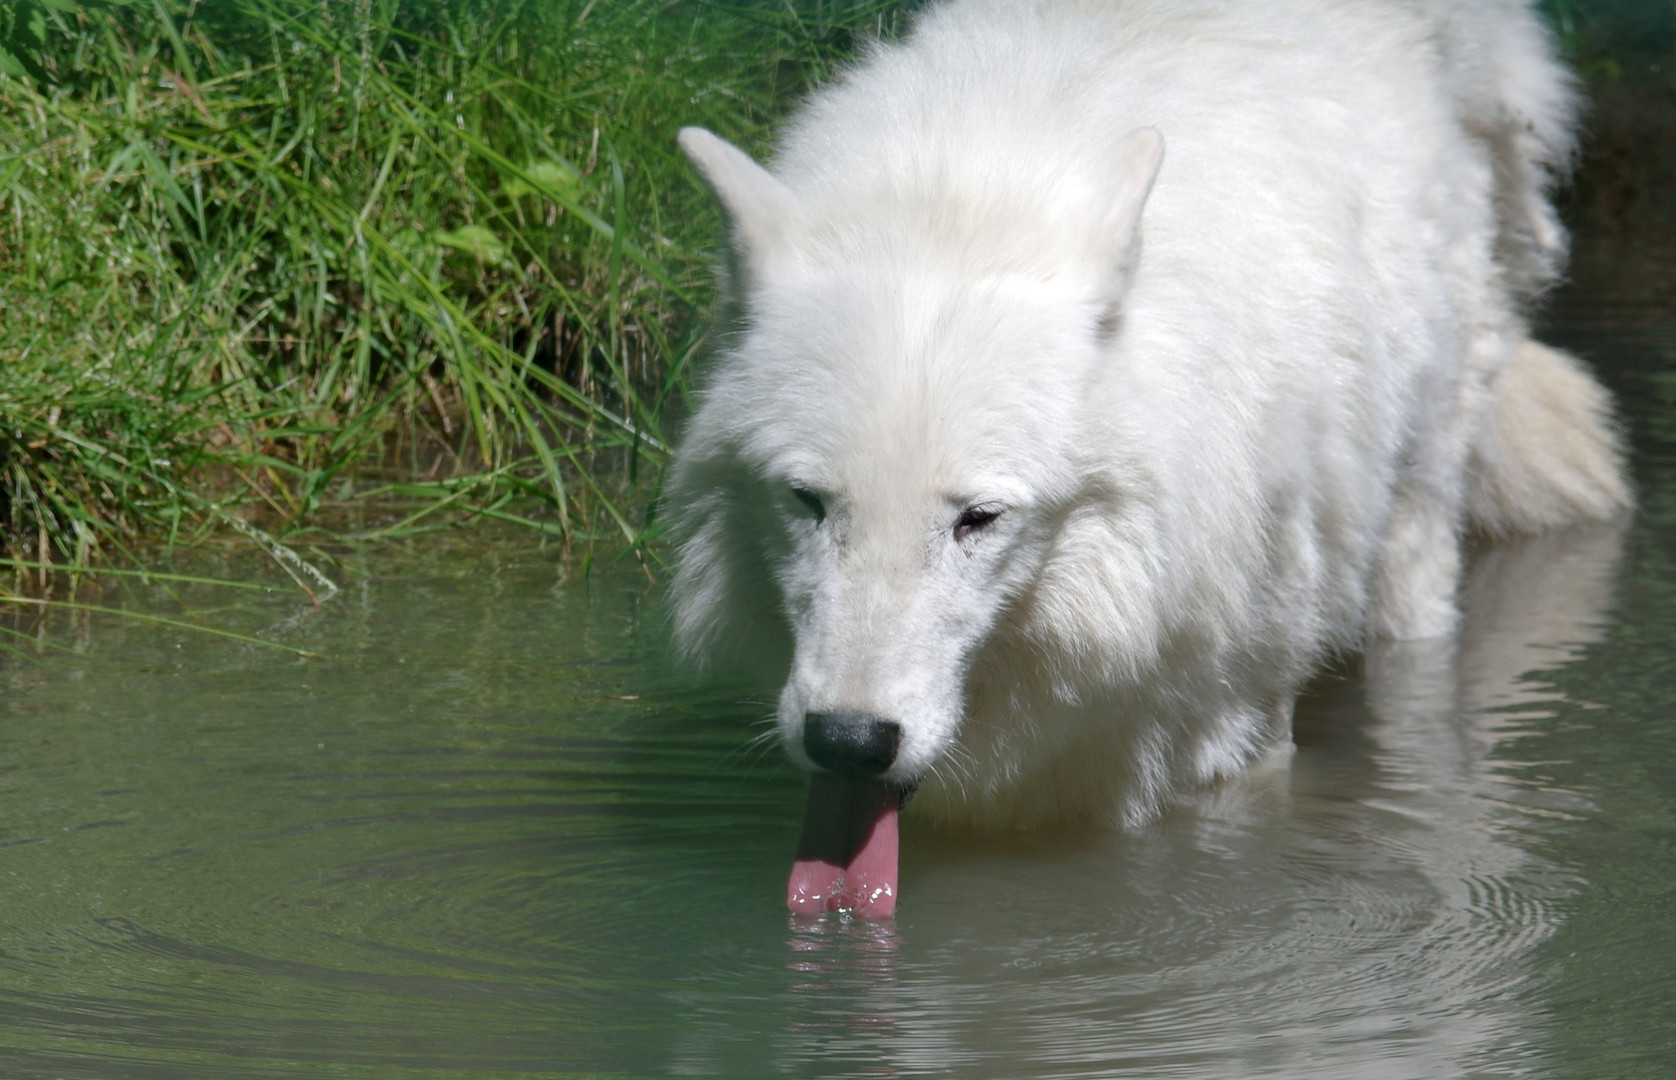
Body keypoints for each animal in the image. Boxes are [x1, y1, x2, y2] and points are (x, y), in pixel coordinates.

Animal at [663, 0, 1622, 912]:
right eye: (807, 501)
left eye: (979, 519)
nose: (849, 742)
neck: (969, 199)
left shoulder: (1239, 727)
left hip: (1415, 505)